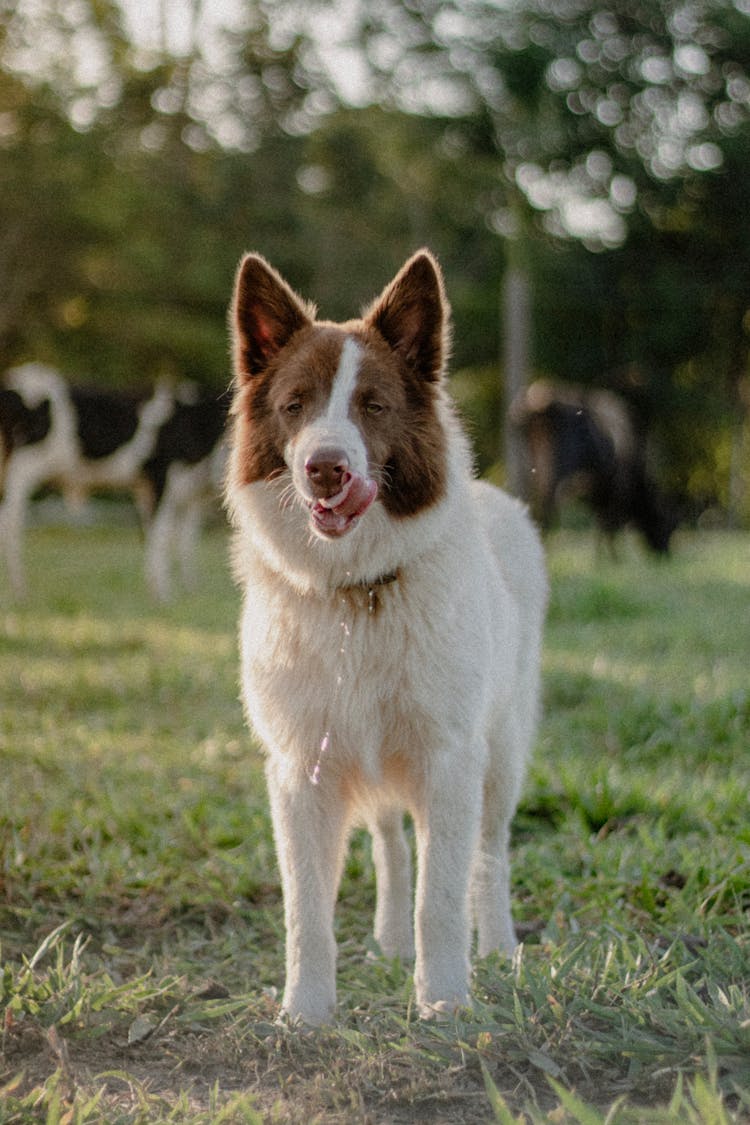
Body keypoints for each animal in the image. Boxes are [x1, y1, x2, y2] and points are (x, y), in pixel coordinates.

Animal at [226, 250, 548, 1026]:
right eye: (296, 404)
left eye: (373, 406)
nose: (326, 468)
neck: (357, 590)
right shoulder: (301, 771)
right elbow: (307, 910)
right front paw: (306, 1014)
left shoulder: (450, 757)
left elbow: (444, 897)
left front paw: (446, 1003)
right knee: (394, 847)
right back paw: (393, 943)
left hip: (502, 755)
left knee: (489, 855)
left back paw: (498, 949)